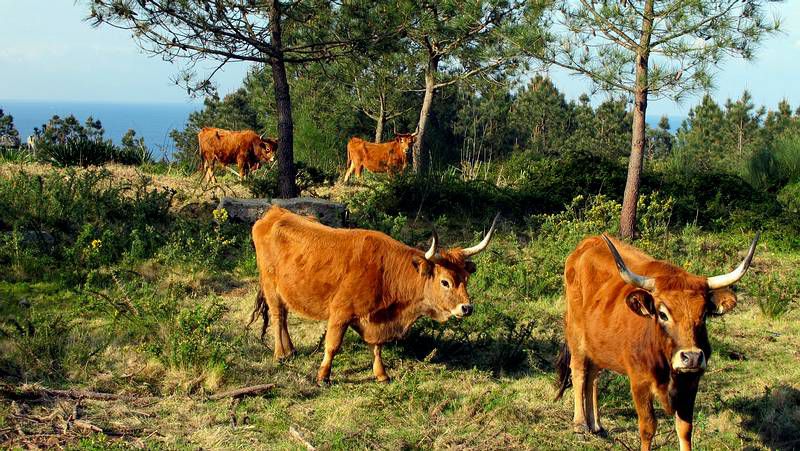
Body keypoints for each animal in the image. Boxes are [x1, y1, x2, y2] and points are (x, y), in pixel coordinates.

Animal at [250, 206, 498, 384]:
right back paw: (281, 353)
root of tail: (275, 212)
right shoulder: (340, 313)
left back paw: (290, 350)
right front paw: (323, 376)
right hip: (271, 289)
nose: (467, 308)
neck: (385, 271)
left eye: (465, 278)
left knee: (284, 317)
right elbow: (332, 345)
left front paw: (381, 374)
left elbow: (376, 346)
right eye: (445, 281)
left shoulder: (375, 318)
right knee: (278, 317)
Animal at [556, 234, 759, 451]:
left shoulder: (691, 383)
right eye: (662, 314)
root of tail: (589, 242)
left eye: (704, 314)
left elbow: (685, 429)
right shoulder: (639, 382)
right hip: (576, 334)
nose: (692, 357)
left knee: (593, 376)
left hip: (597, 344)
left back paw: (596, 424)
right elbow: (648, 427)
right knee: (579, 372)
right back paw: (580, 424)